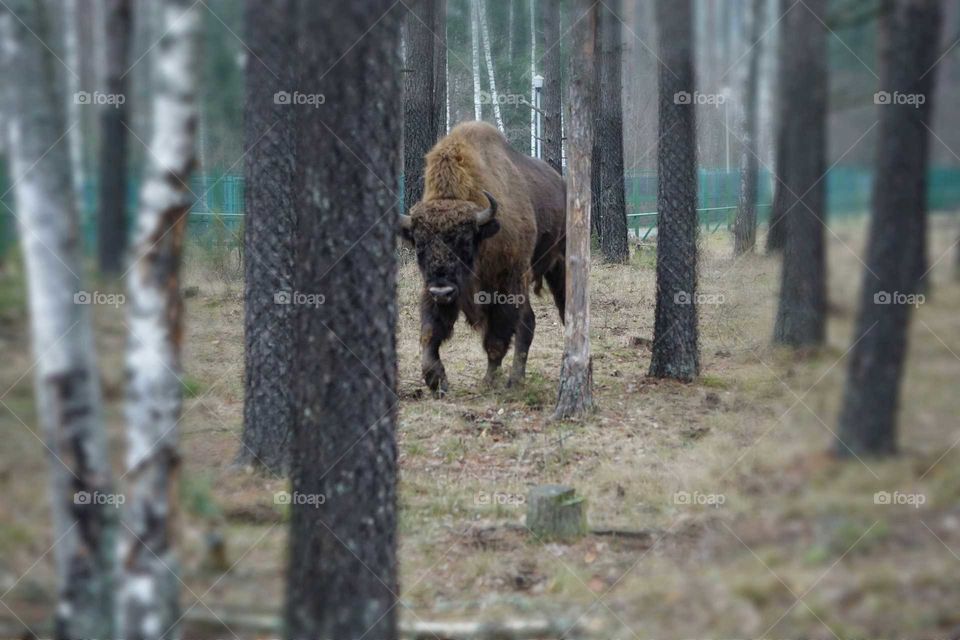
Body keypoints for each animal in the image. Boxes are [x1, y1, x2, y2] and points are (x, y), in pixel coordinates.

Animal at [400, 121, 566, 396]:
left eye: (465, 241)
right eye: (419, 245)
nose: (442, 291)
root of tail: (561, 183)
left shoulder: (504, 285)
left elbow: (496, 338)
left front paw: (488, 381)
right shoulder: (432, 290)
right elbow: (429, 332)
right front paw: (437, 381)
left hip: (559, 265)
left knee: (562, 309)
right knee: (528, 322)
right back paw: (516, 379)